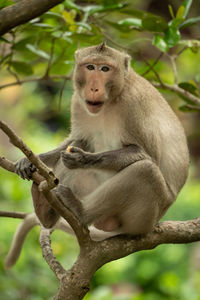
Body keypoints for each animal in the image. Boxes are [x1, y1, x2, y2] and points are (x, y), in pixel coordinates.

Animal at [14, 41, 189, 237]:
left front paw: (83, 159)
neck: (112, 99)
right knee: (81, 143)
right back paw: (46, 211)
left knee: (146, 171)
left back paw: (80, 210)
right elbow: (77, 138)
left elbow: (147, 155)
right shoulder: (78, 101)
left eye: (105, 69)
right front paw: (31, 161)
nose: (93, 88)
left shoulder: (134, 104)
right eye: (90, 67)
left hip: (145, 217)